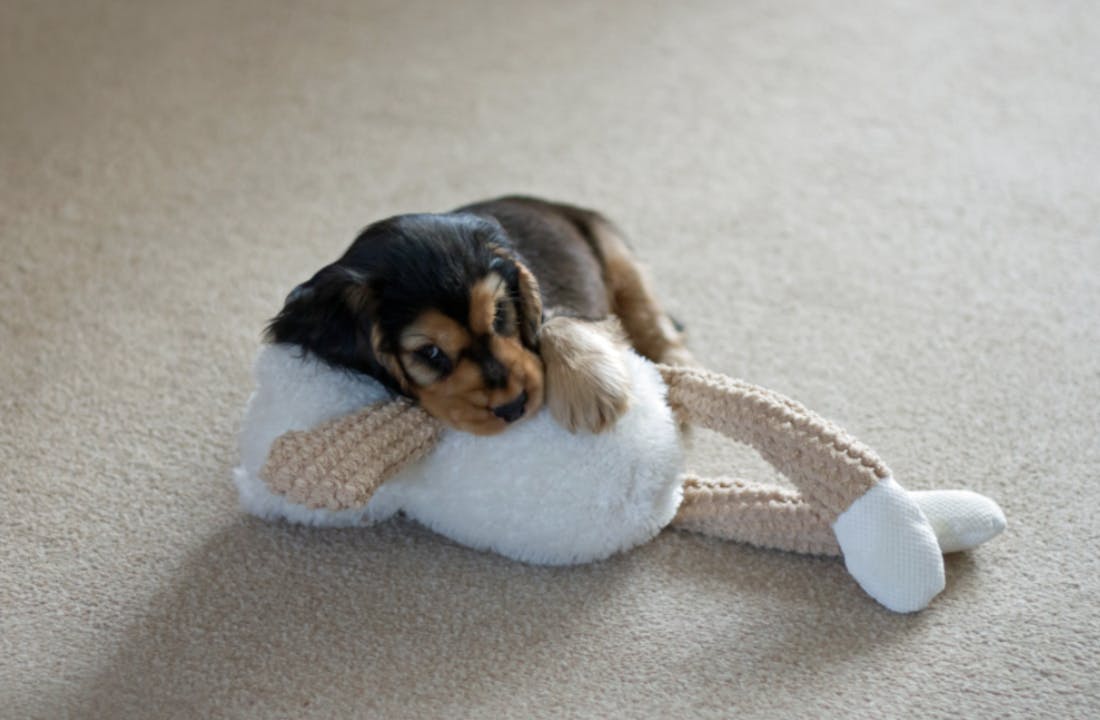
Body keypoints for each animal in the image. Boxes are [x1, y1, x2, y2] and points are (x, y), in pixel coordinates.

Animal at [267, 194, 690, 437]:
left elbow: (556, 320)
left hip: (616, 255)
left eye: (500, 312)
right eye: (429, 353)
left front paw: (590, 390)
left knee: (654, 324)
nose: (513, 407)